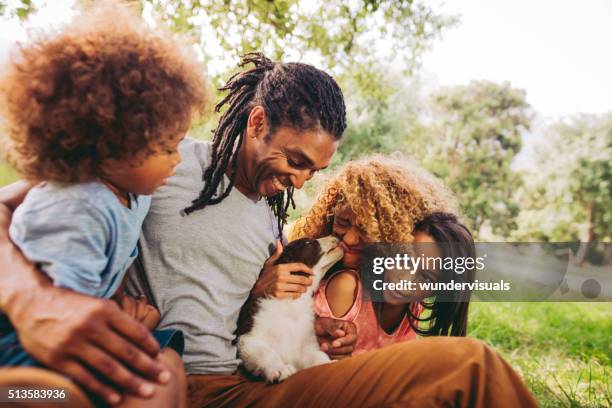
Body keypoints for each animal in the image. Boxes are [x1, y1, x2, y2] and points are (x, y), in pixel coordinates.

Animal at [237, 236, 344, 382]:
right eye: (308, 242)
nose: (335, 237)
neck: (292, 303)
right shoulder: (249, 339)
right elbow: (266, 353)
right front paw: (280, 369)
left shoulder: (305, 344)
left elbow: (317, 355)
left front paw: (327, 362)